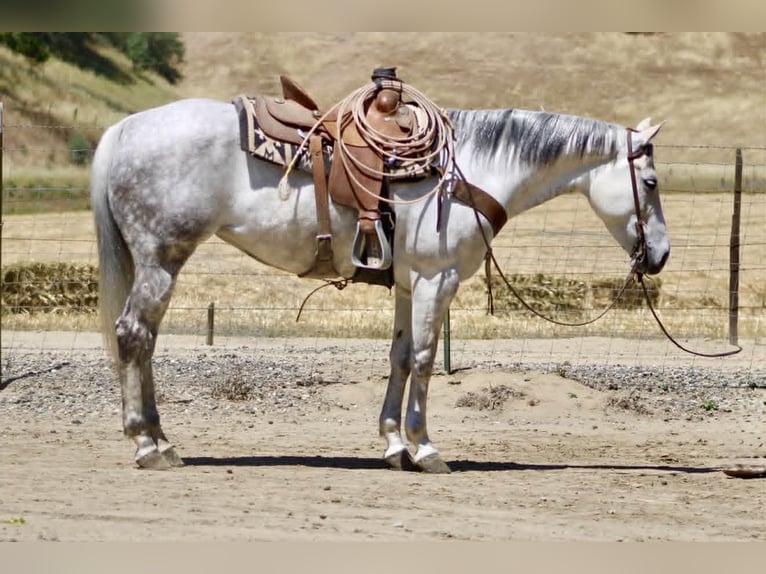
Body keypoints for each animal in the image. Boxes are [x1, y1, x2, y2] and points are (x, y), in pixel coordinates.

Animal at [90, 97, 668, 472]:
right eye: (652, 182)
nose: (659, 255)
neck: (466, 172)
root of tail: (125, 129)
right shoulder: (438, 279)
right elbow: (426, 359)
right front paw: (426, 448)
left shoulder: (410, 285)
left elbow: (400, 357)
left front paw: (393, 446)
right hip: (161, 260)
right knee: (134, 336)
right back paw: (148, 445)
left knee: (142, 341)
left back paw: (159, 439)